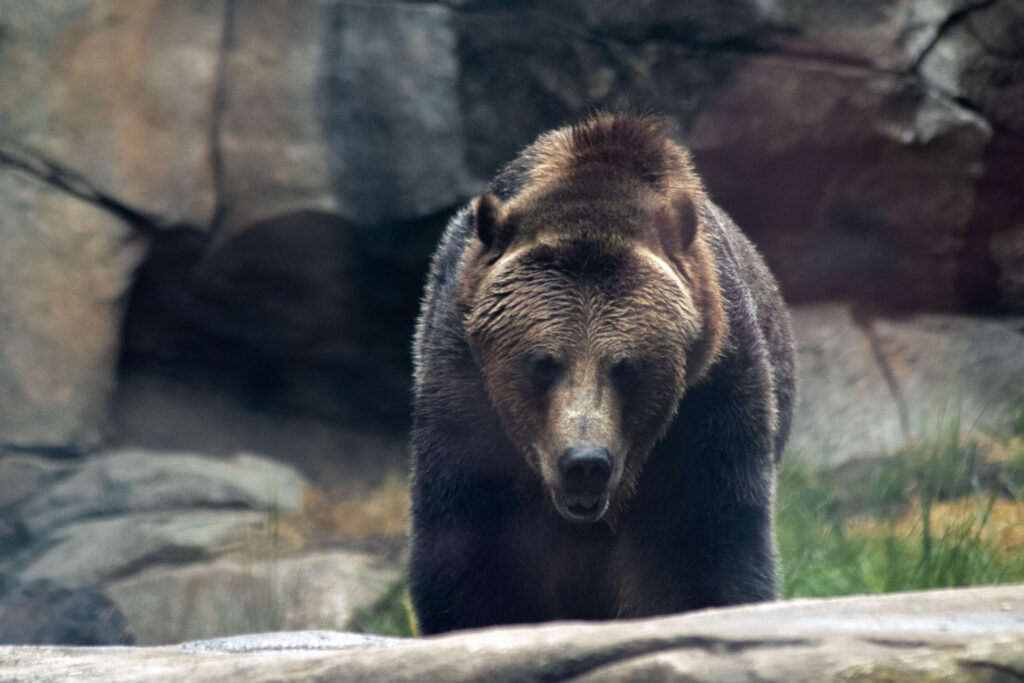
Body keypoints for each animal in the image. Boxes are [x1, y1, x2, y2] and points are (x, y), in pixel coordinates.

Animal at [409, 111, 798, 634]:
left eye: (627, 368)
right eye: (543, 363)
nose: (585, 462)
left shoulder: (710, 400)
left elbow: (704, 545)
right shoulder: (462, 390)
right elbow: (469, 553)